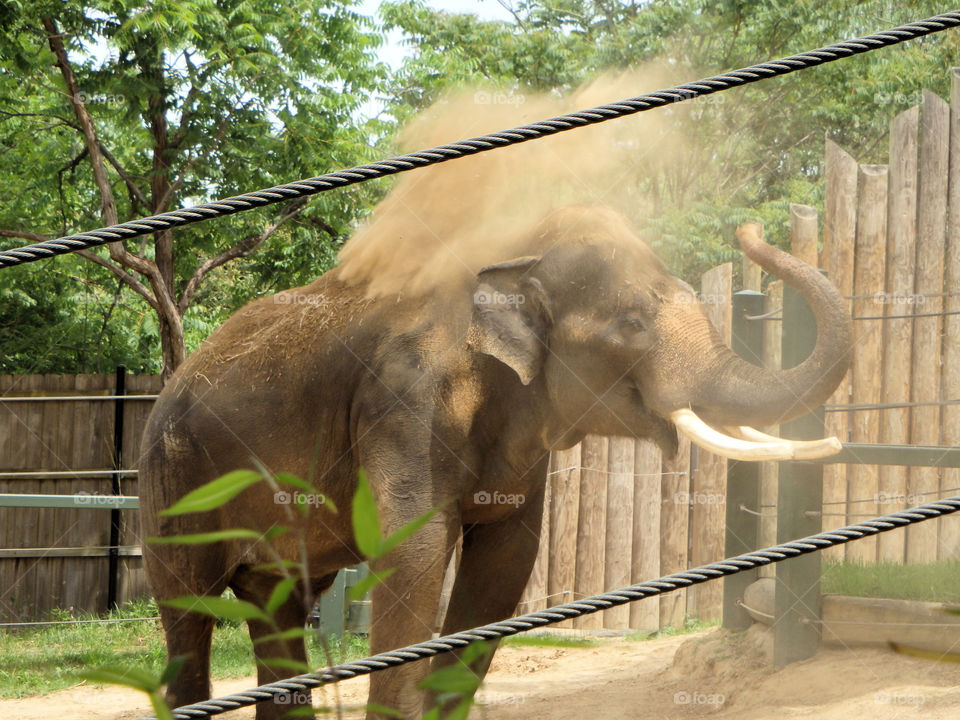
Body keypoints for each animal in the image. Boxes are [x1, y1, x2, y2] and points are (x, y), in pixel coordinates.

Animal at [139, 205, 852, 719]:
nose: (752, 229)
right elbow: (416, 549)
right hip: (170, 477)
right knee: (187, 612)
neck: (512, 254)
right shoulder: (405, 401)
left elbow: (508, 557)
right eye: (631, 324)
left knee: (275, 607)